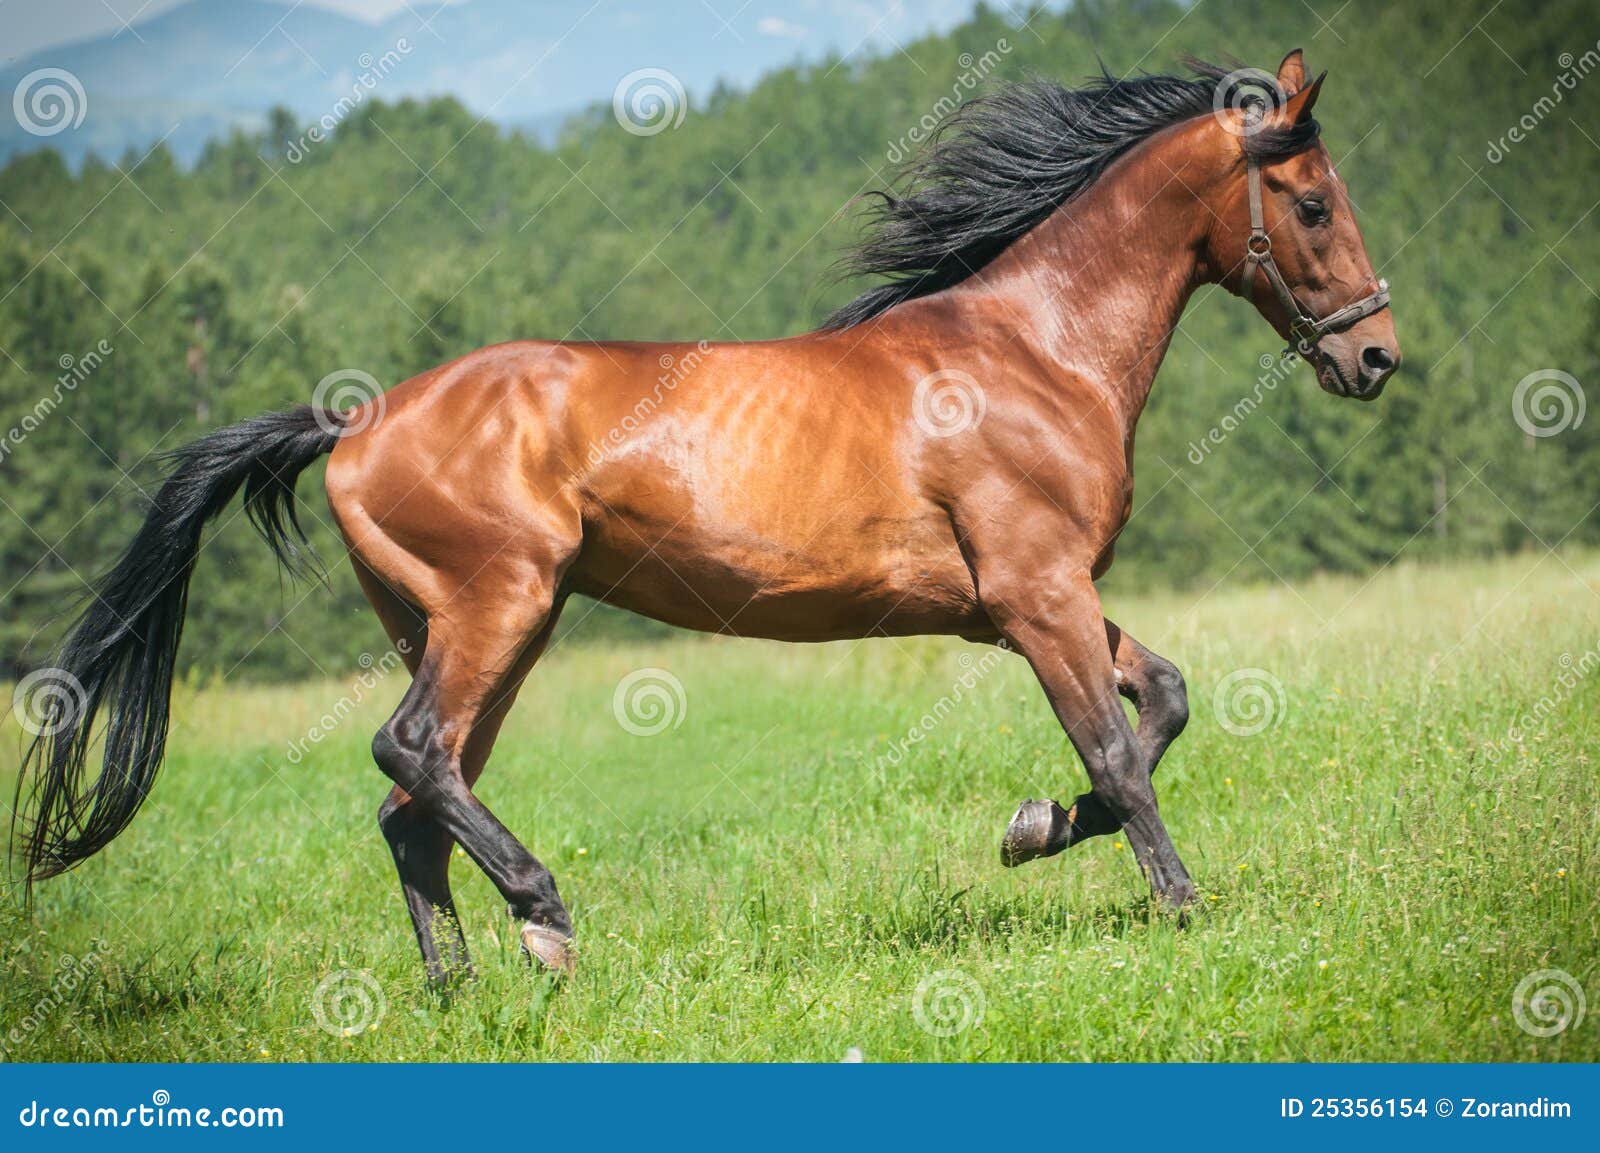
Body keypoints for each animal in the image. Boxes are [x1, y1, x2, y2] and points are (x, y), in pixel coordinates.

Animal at [12, 49, 1395, 978]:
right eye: (1312, 204)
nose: (1374, 357)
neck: (1031, 350)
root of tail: (353, 422)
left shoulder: (1027, 602)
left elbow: (1163, 702)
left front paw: (1032, 828)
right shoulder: (1037, 592)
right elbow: (1116, 747)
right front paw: (1177, 907)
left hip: (467, 633)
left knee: (414, 803)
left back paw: (461, 988)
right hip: (497, 609)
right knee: (408, 756)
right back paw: (547, 921)